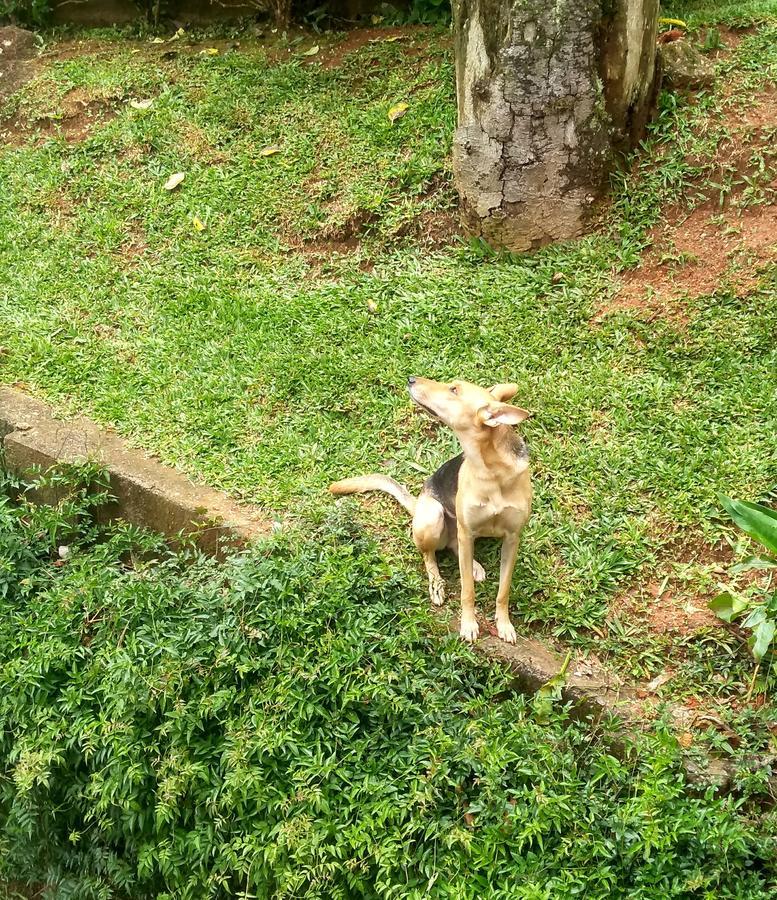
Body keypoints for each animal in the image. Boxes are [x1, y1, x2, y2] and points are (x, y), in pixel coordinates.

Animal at [324, 376, 532, 644]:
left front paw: (504, 624)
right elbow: (467, 590)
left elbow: (503, 591)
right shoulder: (467, 531)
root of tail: (418, 501)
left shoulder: (512, 538)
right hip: (433, 515)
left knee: (455, 547)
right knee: (430, 555)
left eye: (454, 389)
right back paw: (437, 583)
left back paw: (474, 566)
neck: (491, 472)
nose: (411, 378)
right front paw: (468, 624)